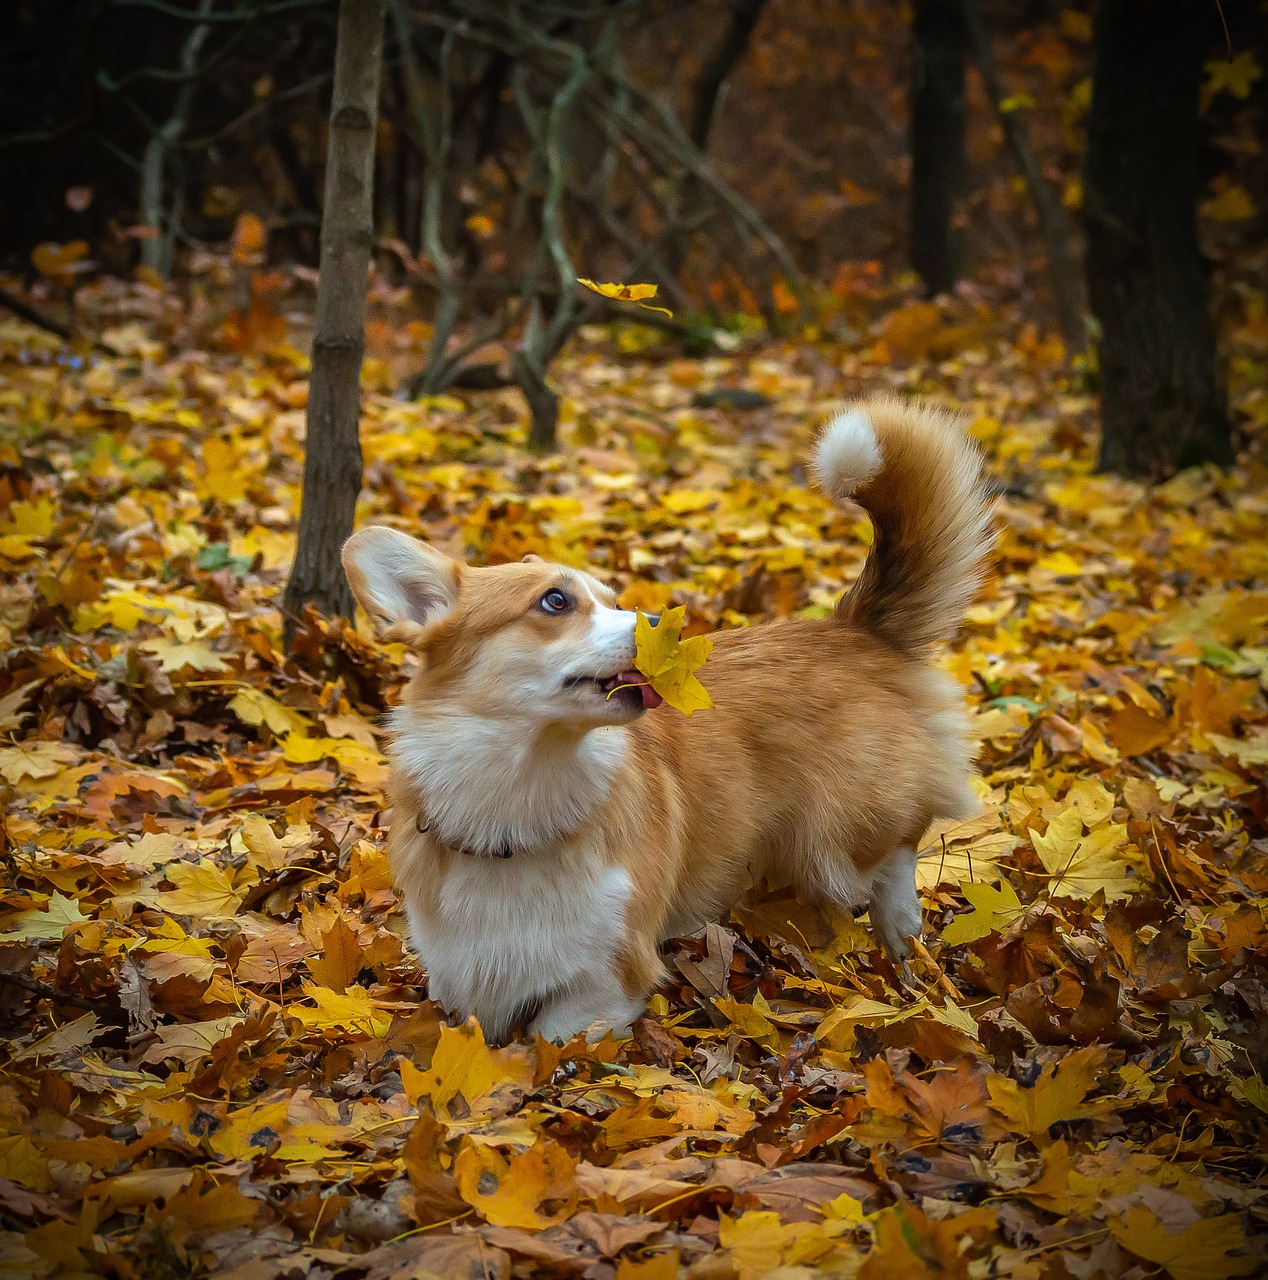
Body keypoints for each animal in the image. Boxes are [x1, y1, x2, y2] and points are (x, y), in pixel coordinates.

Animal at [345, 399, 992, 1039]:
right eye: (555, 601)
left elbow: (546, 1042)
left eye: (613, 599)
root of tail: (853, 627)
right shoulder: (459, 975)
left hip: (847, 832)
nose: (661, 623)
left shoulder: (607, 979)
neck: (514, 803)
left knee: (895, 857)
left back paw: (903, 947)